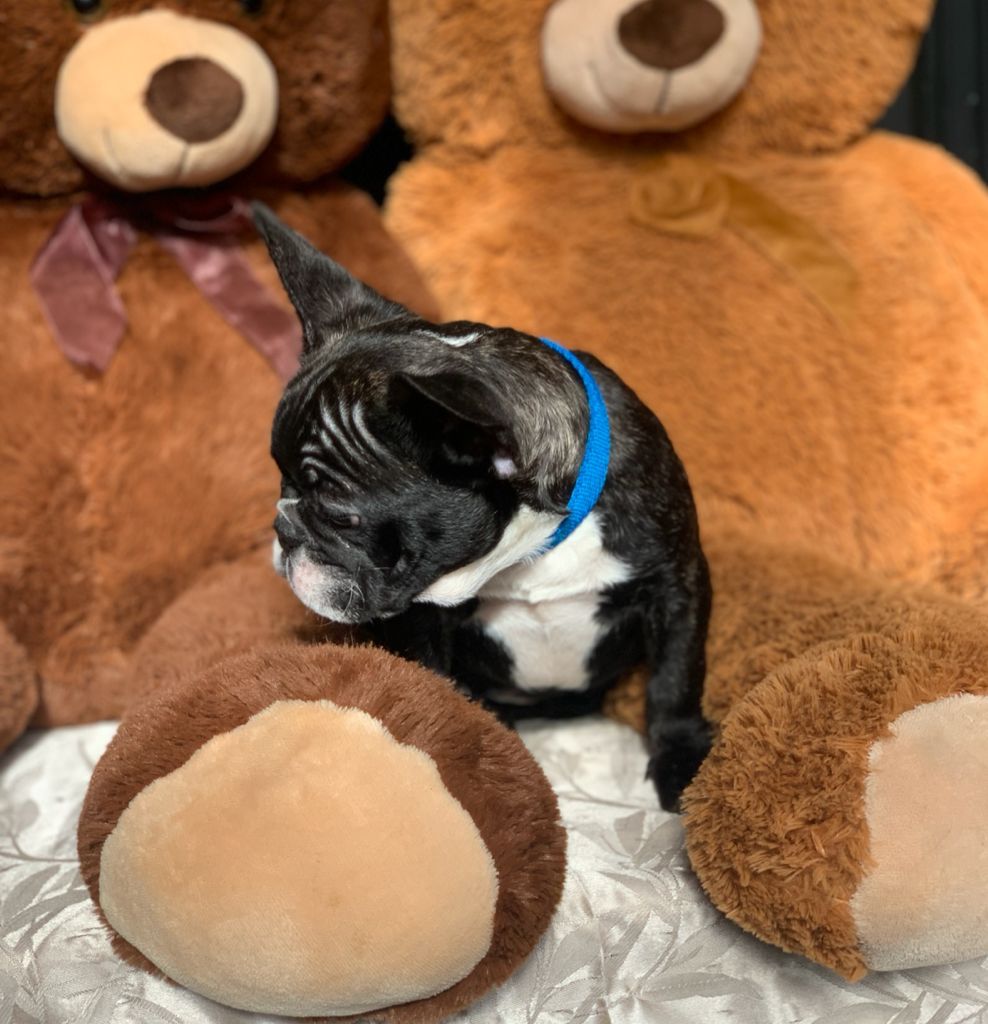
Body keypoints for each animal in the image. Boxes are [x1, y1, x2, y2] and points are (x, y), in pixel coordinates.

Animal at [250, 203, 704, 811]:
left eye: (343, 516)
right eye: (280, 479)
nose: (284, 528)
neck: (537, 548)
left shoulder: (677, 581)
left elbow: (676, 676)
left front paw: (682, 759)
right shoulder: (424, 621)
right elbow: (439, 681)